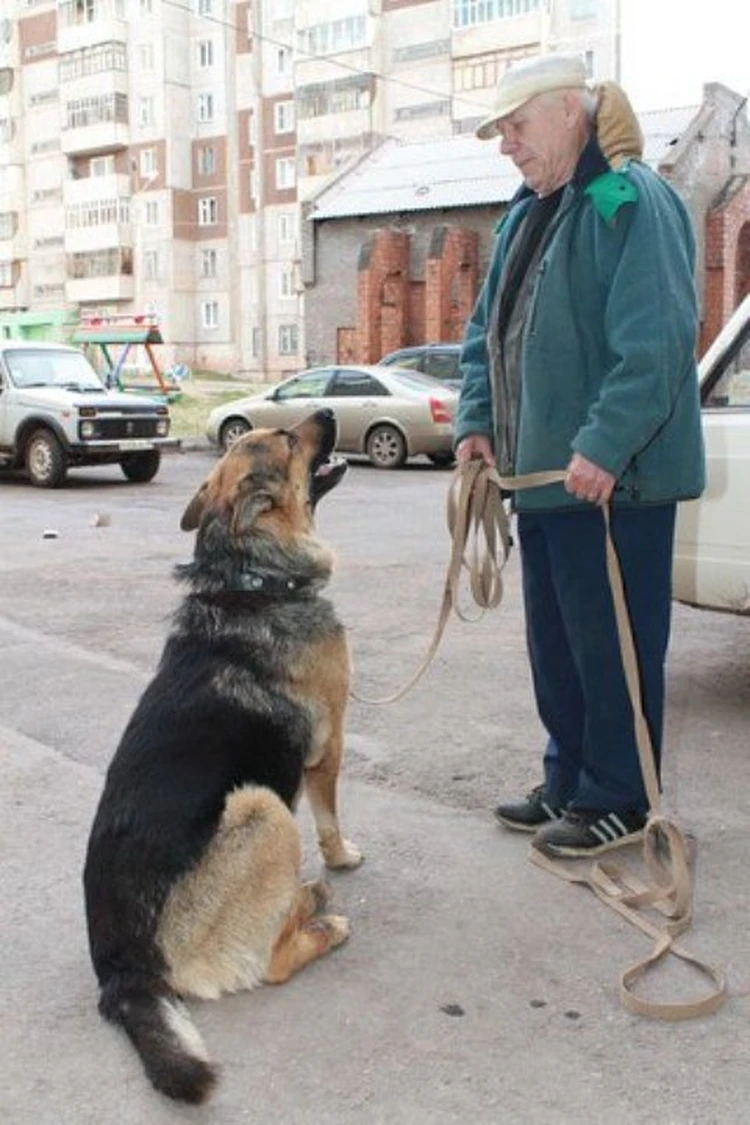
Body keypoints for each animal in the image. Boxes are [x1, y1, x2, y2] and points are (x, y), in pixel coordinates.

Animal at [83, 409, 362, 1102]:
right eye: (287, 439)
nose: (328, 411)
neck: (252, 574)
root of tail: (123, 972)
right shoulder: (330, 745)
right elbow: (330, 817)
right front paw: (343, 857)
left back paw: (304, 899)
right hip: (262, 808)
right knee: (273, 961)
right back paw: (321, 922)